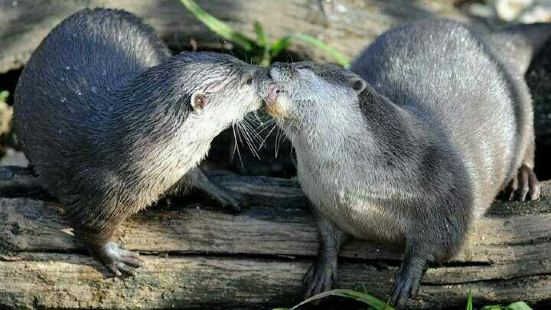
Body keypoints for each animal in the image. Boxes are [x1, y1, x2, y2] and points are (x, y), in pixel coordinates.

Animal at [13, 8, 264, 276]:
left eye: (242, 62)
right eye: (248, 80)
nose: (267, 73)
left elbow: (196, 176)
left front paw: (224, 193)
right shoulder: (95, 188)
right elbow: (89, 229)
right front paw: (114, 257)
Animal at [260, 20, 551, 308]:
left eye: (303, 68)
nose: (274, 65)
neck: (357, 188)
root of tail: (490, 42)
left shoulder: (447, 196)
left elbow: (434, 243)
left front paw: (408, 278)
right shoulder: (320, 199)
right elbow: (326, 235)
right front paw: (322, 270)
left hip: (520, 104)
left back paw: (524, 180)